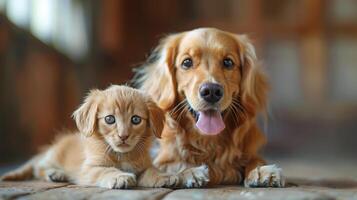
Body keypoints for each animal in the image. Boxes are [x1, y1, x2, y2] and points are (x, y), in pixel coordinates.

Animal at [0, 85, 197, 188]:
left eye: (136, 119)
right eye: (109, 119)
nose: (123, 136)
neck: (122, 155)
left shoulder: (143, 166)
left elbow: (151, 170)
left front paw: (163, 176)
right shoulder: (89, 168)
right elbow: (106, 170)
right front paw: (119, 177)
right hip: (53, 156)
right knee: (38, 168)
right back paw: (55, 173)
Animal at [132, 27, 286, 187]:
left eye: (228, 62)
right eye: (187, 62)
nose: (211, 91)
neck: (208, 141)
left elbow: (255, 160)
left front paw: (261, 170)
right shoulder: (162, 158)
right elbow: (173, 164)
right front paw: (190, 171)